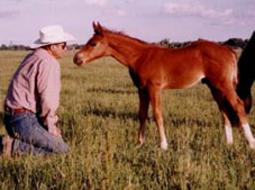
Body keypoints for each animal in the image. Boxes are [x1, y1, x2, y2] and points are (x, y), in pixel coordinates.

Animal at [73, 22, 255, 149]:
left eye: (93, 43)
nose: (77, 58)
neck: (141, 57)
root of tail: (228, 50)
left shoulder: (154, 88)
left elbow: (157, 115)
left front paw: (163, 145)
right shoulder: (141, 90)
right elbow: (142, 114)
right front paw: (139, 143)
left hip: (224, 84)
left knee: (238, 105)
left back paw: (251, 143)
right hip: (214, 86)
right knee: (224, 110)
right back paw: (229, 143)